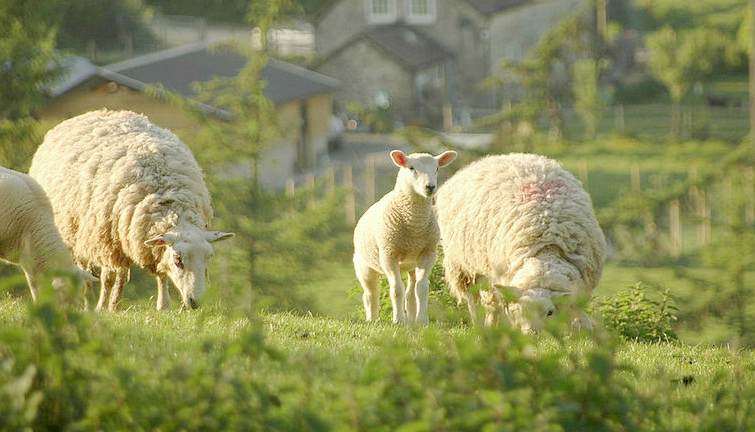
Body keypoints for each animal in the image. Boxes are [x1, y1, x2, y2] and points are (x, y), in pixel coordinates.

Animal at [29, 108, 235, 310]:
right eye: (178, 259)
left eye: (209, 257)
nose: (196, 302)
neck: (170, 202)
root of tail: (98, 111)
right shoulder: (105, 240)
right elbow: (108, 278)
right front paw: (101, 307)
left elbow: (159, 272)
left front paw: (163, 306)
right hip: (76, 231)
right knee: (86, 269)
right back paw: (88, 303)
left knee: (120, 273)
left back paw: (116, 305)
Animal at [352, 150, 454, 322]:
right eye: (411, 168)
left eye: (437, 168)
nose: (430, 187)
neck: (414, 225)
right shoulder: (389, 254)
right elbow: (396, 289)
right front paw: (398, 320)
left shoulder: (428, 253)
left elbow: (422, 288)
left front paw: (422, 321)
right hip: (363, 265)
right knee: (370, 294)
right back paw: (372, 319)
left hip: (411, 265)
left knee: (410, 293)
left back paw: (411, 320)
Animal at [434, 154, 604, 332]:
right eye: (519, 311)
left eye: (550, 312)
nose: (531, 334)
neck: (546, 249)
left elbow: (575, 315)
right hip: (464, 269)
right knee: (476, 302)